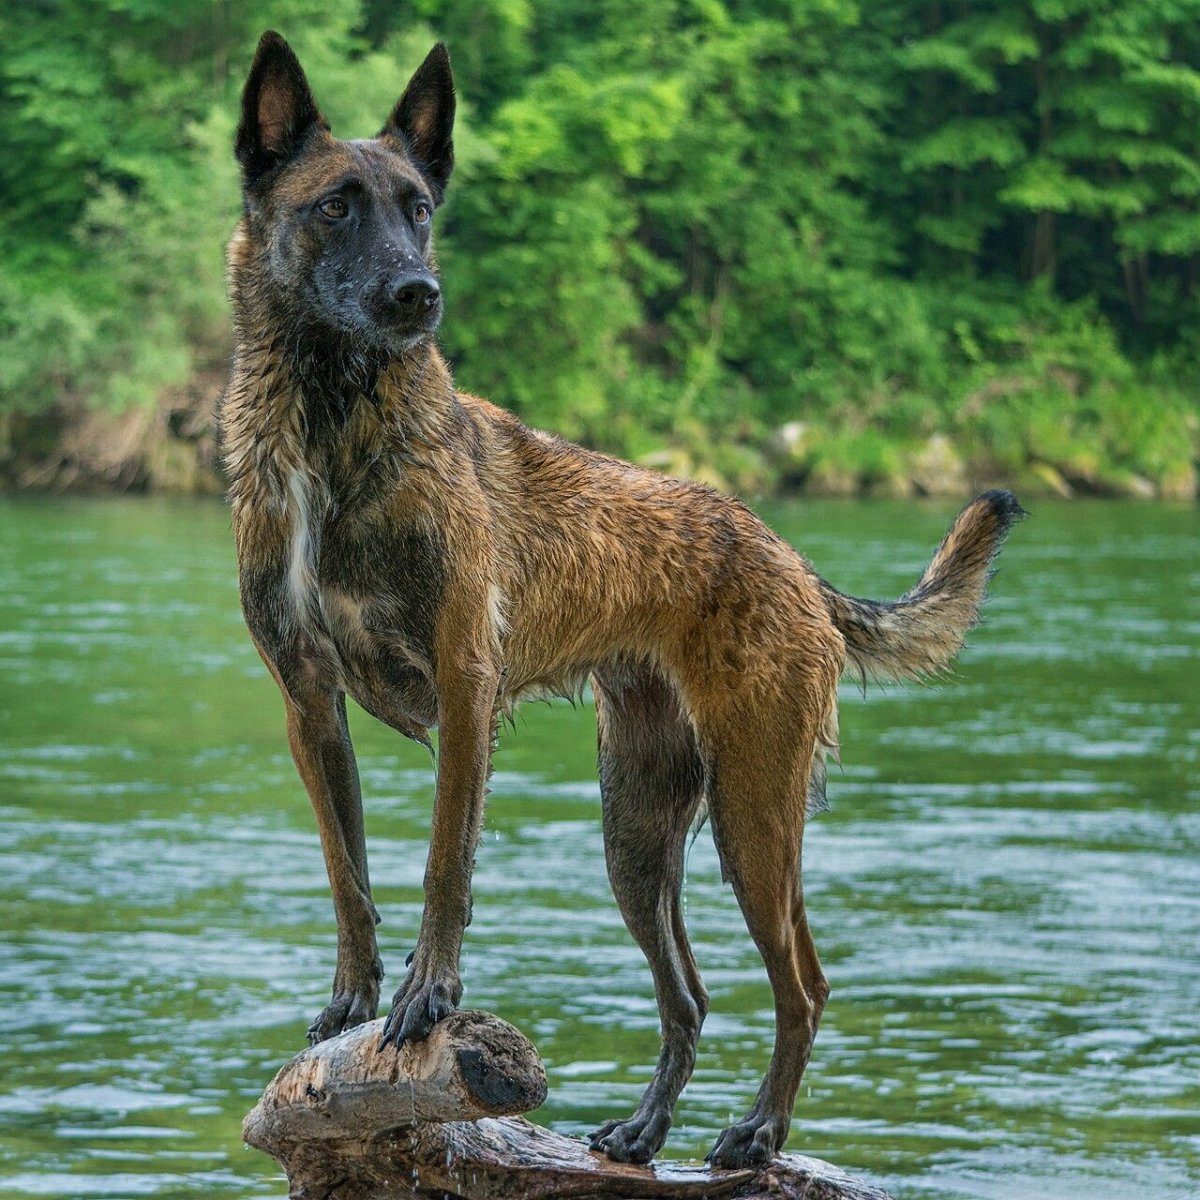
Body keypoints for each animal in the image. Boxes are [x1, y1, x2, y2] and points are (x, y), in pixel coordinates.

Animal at [218, 32, 1022, 1166]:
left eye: (419, 207)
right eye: (336, 205)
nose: (420, 293)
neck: (332, 426)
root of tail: (792, 561)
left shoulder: (465, 691)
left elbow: (442, 864)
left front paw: (427, 998)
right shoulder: (308, 703)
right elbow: (350, 873)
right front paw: (353, 1003)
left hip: (752, 813)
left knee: (805, 985)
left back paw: (758, 1131)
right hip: (636, 832)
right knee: (690, 995)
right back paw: (646, 1130)